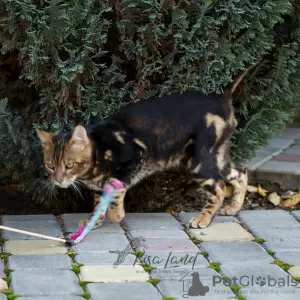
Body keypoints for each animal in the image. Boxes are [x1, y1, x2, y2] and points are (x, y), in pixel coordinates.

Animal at [37, 88, 248, 229]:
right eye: (50, 165)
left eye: (69, 165)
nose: (58, 180)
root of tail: (222, 100)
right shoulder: (98, 187)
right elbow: (98, 204)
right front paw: (93, 222)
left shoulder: (132, 161)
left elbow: (114, 195)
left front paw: (117, 215)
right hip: (216, 156)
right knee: (241, 172)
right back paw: (233, 208)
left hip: (197, 160)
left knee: (219, 187)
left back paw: (203, 219)